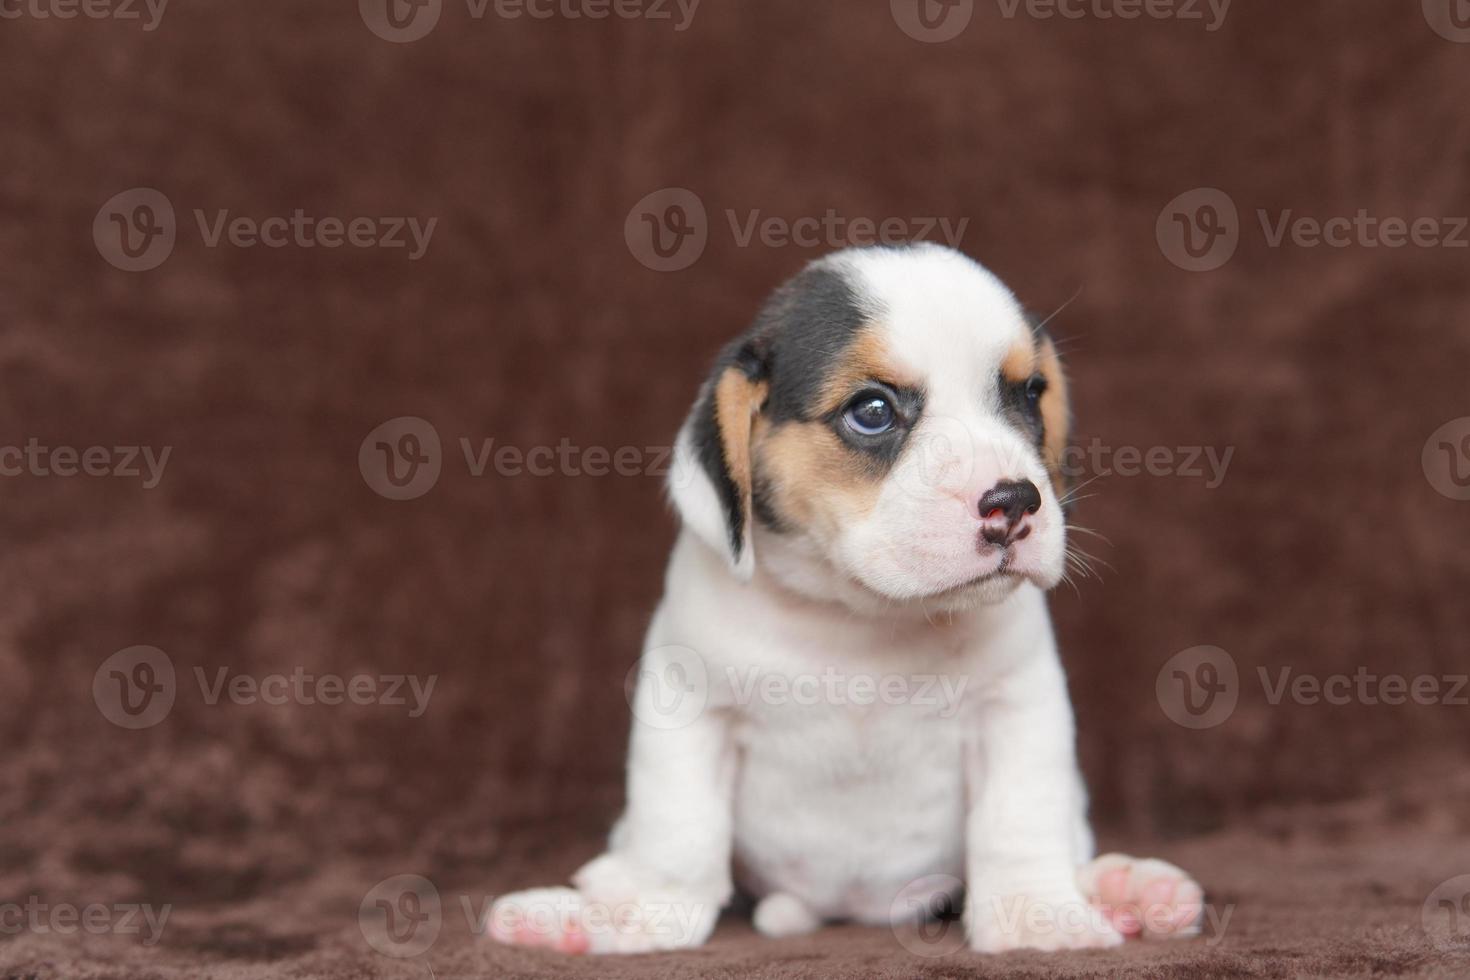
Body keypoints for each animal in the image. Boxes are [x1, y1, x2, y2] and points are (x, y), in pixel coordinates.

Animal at [488, 245, 1199, 957]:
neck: (860, 618)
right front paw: (636, 915)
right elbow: (678, 830)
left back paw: (1127, 888)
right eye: (873, 410)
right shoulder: (688, 706)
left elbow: (1019, 819)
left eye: (1029, 394)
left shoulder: (1018, 705)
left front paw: (1037, 914)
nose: (1016, 501)